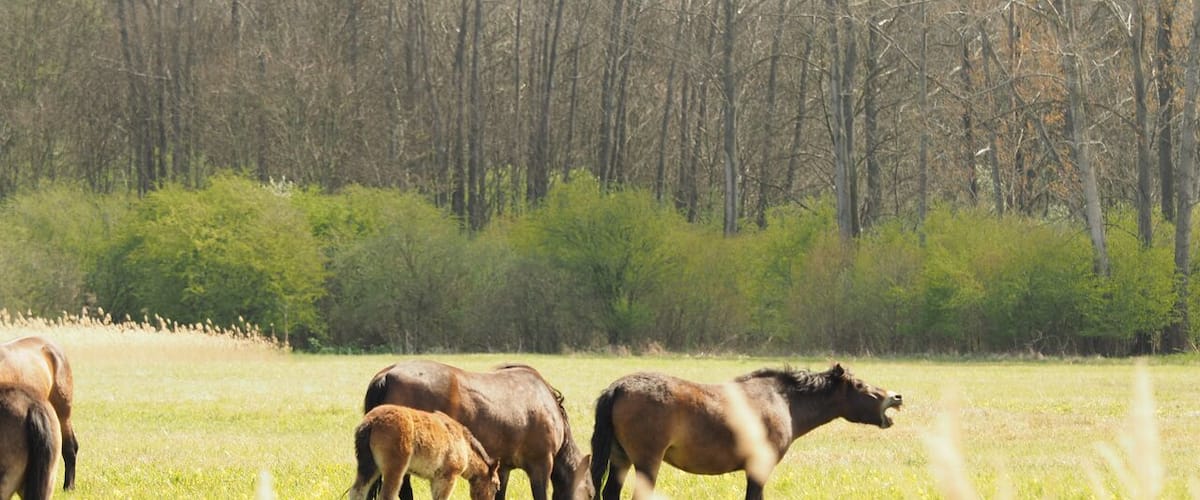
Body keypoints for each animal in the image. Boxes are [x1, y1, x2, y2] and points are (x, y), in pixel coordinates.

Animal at [349, 404, 501, 500]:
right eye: (496, 486)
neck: (464, 444)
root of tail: (370, 422)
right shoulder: (447, 477)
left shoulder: (435, 479)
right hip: (394, 470)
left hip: (369, 467)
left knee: (357, 492)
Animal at [590, 363, 903, 500]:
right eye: (860, 386)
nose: (896, 397)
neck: (783, 401)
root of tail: (618, 387)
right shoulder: (759, 467)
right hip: (647, 462)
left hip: (621, 460)